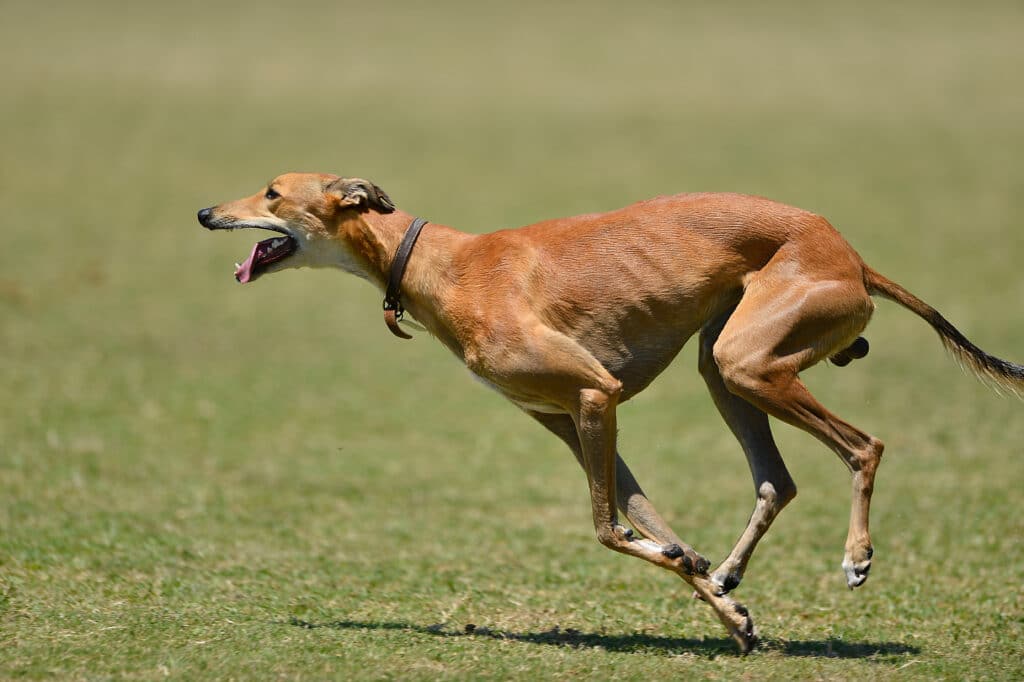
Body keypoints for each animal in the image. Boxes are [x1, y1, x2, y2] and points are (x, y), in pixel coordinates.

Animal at [199, 173, 1024, 651]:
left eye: (272, 192)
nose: (206, 211)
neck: (442, 264)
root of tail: (850, 253)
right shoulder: (569, 421)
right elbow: (651, 526)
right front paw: (723, 606)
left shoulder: (597, 395)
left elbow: (605, 528)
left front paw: (706, 583)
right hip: (725, 367)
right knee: (777, 481)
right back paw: (731, 572)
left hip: (751, 365)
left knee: (864, 445)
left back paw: (856, 557)